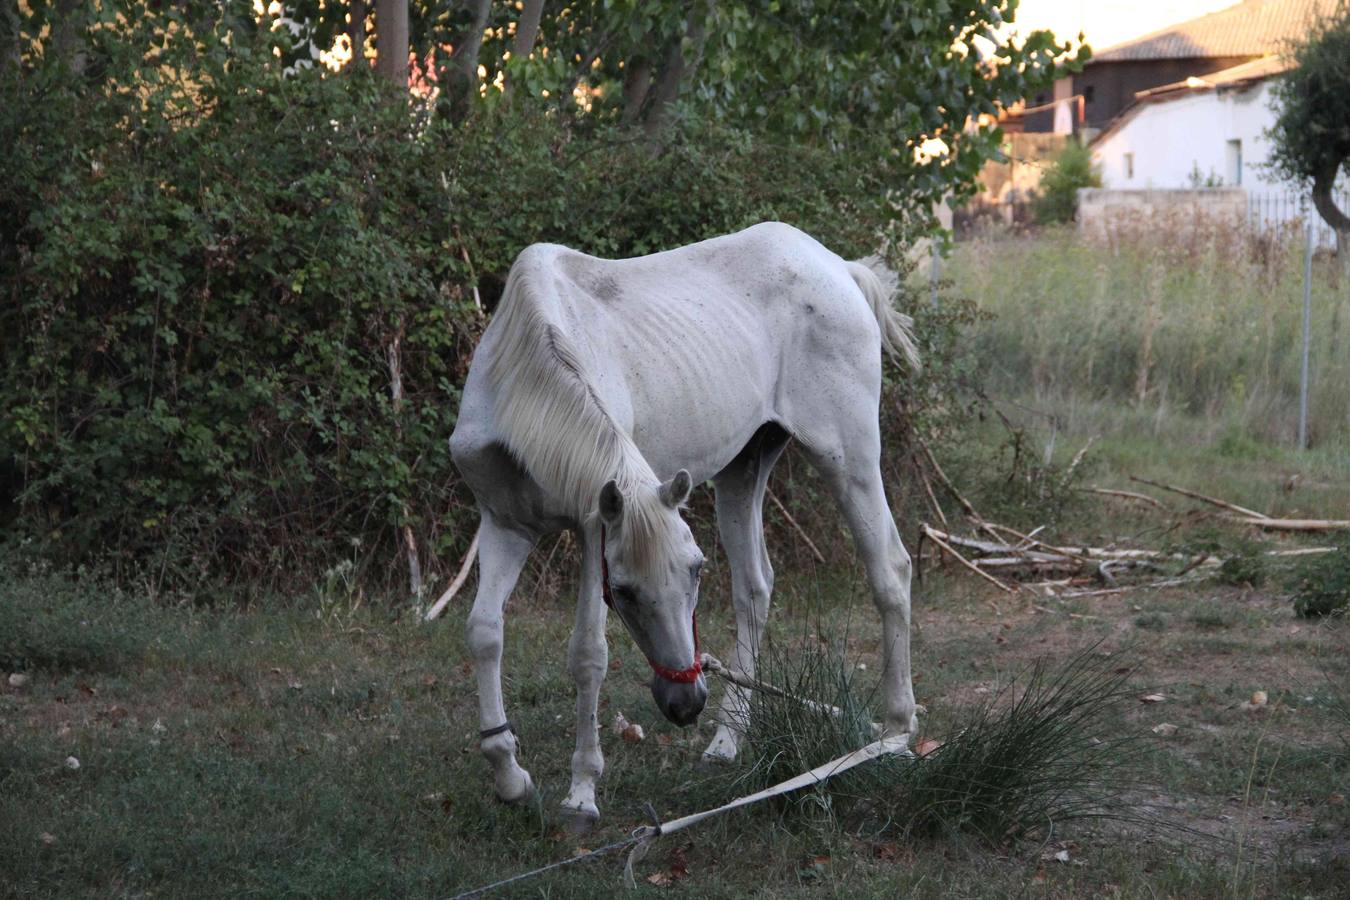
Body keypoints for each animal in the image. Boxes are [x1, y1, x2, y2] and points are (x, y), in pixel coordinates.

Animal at [450, 219, 918, 831]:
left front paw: (581, 793)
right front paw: (509, 776)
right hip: (745, 467)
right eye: (626, 591)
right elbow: (484, 633)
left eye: (694, 573)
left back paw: (896, 732)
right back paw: (727, 739)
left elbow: (587, 656)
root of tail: (839, 267)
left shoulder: (594, 530)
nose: (686, 704)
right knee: (754, 588)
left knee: (890, 568)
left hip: (849, 457)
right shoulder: (506, 524)